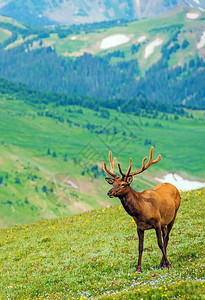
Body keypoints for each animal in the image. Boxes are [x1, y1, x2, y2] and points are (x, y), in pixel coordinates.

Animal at [101, 146, 180, 274]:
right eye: (113, 184)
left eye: (123, 184)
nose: (109, 192)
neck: (142, 211)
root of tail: (174, 186)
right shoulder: (139, 227)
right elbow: (140, 247)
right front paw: (138, 268)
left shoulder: (157, 222)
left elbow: (159, 244)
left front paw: (168, 265)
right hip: (164, 222)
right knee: (165, 236)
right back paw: (162, 263)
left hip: (173, 215)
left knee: (166, 237)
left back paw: (163, 263)